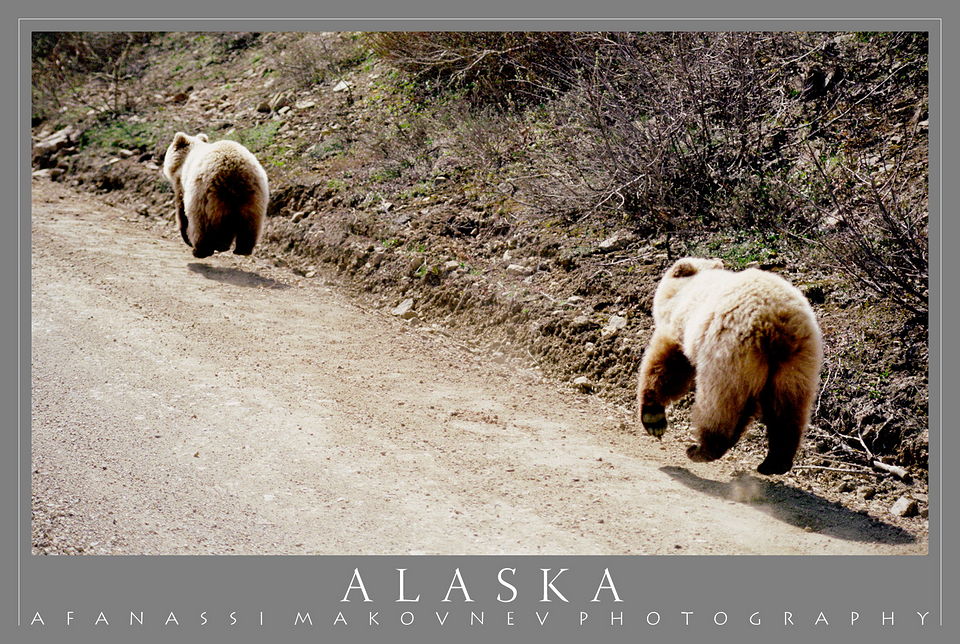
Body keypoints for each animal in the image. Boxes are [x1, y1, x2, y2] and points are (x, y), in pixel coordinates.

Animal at [636, 255, 824, 472]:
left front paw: (653, 418)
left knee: (719, 401)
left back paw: (702, 448)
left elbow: (668, 364)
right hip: (797, 361)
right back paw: (775, 461)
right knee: (788, 408)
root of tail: (775, 324)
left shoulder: (684, 327)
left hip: (729, 350)